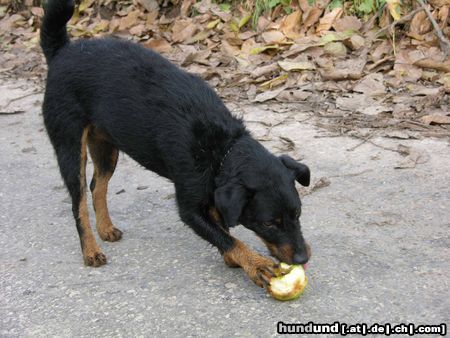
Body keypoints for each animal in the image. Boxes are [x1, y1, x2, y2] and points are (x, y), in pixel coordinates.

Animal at [40, 0, 312, 288]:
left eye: (298, 213)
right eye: (269, 223)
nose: (302, 257)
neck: (221, 148)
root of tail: (62, 51)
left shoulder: (213, 194)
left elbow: (223, 228)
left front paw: (233, 259)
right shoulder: (190, 209)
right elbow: (227, 237)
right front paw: (254, 263)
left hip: (105, 147)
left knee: (97, 186)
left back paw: (105, 229)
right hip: (69, 145)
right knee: (78, 202)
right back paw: (91, 249)